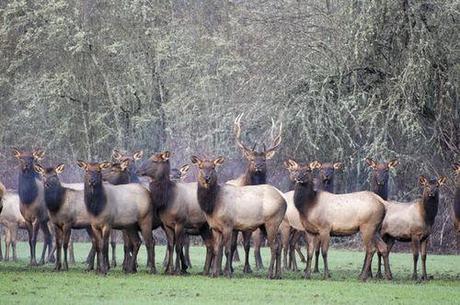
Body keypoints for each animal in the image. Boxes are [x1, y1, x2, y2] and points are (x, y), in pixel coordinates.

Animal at [226, 113, 280, 270]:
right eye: (251, 158)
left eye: (264, 159)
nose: (258, 165)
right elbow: (233, 244)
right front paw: (231, 267)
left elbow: (247, 246)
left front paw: (248, 268)